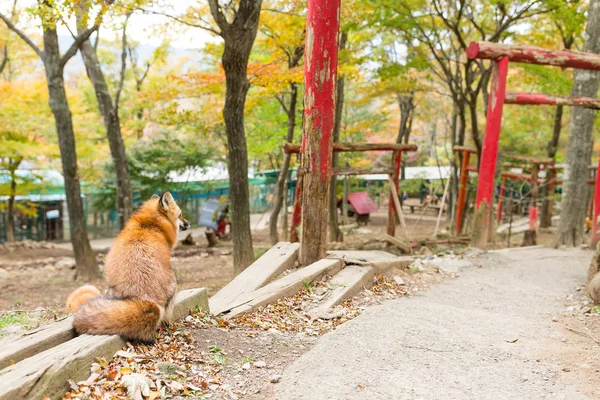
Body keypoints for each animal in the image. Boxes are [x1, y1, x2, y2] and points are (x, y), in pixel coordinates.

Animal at [65, 192, 189, 342]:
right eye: (180, 214)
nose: (189, 223)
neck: (149, 225)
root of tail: (146, 298)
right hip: (174, 281)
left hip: (110, 290)